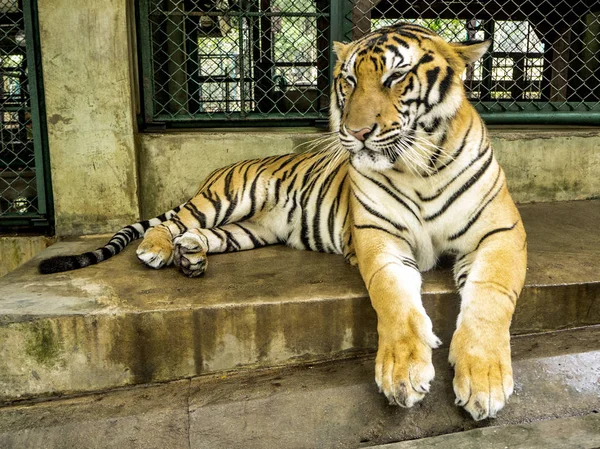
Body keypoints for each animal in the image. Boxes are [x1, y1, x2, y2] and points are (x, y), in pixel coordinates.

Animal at [39, 22, 524, 422]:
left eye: (395, 77)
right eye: (349, 81)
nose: (356, 133)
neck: (420, 169)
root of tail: (225, 168)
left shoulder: (500, 235)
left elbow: (490, 297)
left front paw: (483, 380)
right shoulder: (379, 237)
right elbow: (394, 298)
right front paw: (403, 372)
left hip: (249, 231)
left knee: (205, 235)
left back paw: (191, 256)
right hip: (228, 197)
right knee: (174, 219)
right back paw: (156, 249)